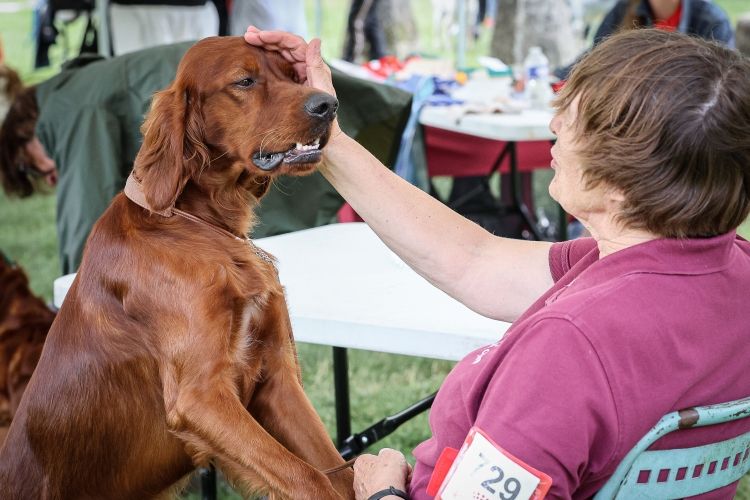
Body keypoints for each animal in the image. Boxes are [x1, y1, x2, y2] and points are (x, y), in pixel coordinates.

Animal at [0, 37, 356, 498]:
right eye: (244, 81)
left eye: (294, 75)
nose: (328, 104)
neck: (198, 224)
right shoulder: (201, 398)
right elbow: (311, 478)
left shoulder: (277, 377)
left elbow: (341, 473)